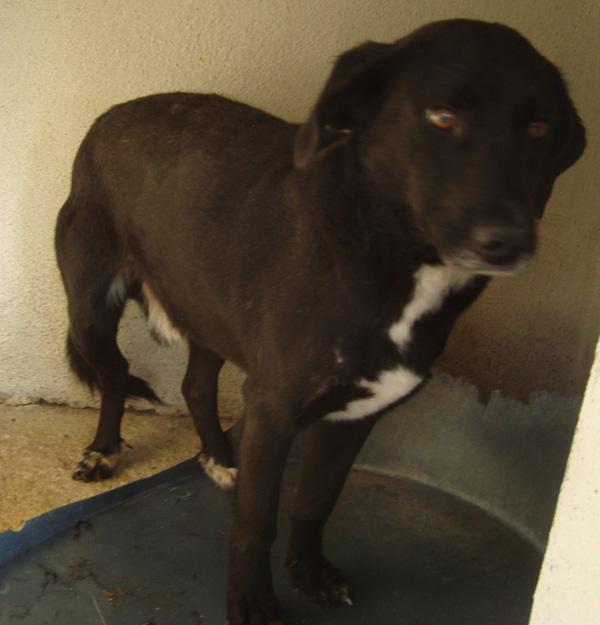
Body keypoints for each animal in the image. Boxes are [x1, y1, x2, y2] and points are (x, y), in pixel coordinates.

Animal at [55, 19, 585, 625]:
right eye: (441, 115)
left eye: (540, 127)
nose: (507, 241)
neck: (386, 252)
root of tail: (110, 115)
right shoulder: (273, 410)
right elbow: (257, 521)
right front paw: (252, 603)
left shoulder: (357, 414)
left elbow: (315, 503)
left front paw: (309, 573)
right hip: (91, 310)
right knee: (115, 378)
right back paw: (104, 451)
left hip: (206, 306)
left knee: (195, 386)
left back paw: (219, 459)